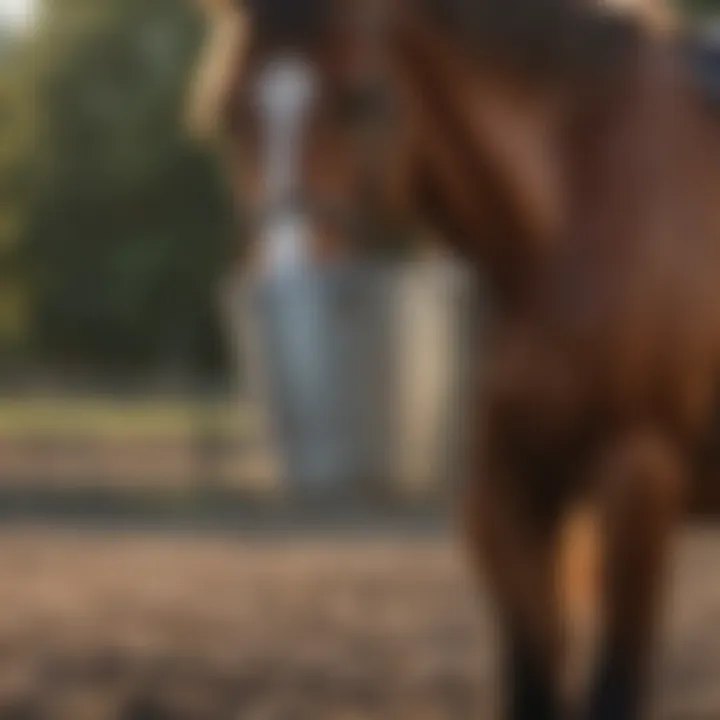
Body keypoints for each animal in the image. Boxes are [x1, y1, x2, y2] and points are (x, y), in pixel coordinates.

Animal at [190, 1, 720, 720]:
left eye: (362, 98)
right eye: (227, 111)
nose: (285, 285)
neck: (571, 213)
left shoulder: (640, 479)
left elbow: (614, 688)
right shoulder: (500, 490)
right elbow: (531, 682)